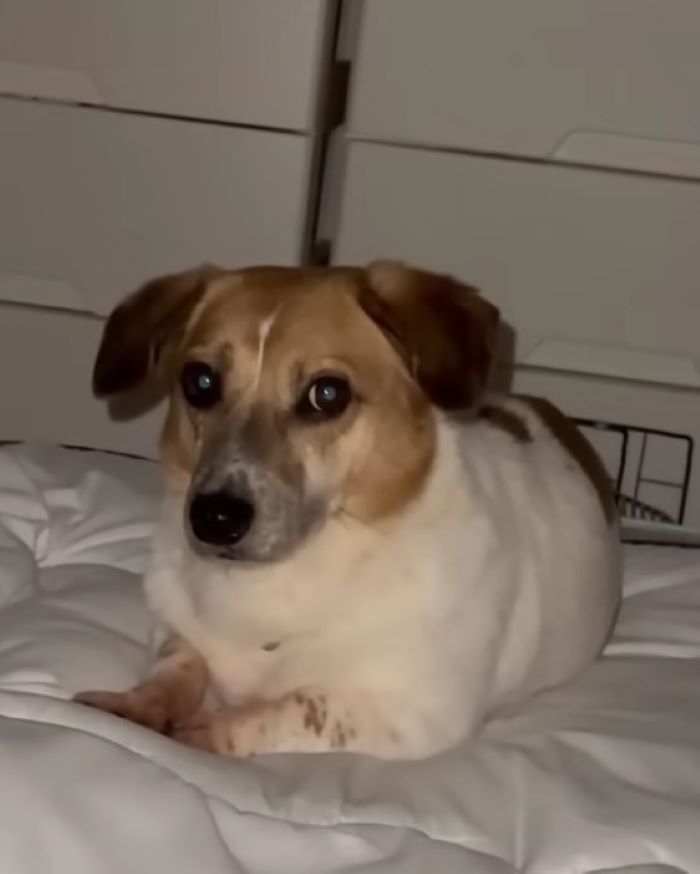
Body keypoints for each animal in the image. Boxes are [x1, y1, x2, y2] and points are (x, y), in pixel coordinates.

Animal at [76, 258, 620, 756]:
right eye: (200, 381)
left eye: (327, 393)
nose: (214, 518)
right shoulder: (174, 633)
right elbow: (179, 665)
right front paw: (138, 705)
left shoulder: (408, 717)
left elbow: (291, 706)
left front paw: (205, 731)